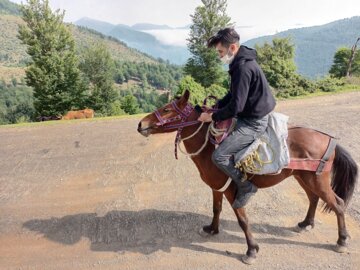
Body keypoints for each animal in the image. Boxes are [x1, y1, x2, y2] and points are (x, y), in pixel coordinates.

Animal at [137, 90, 358, 264]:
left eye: (167, 110)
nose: (140, 124)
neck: (209, 145)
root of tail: (329, 139)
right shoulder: (217, 186)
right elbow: (216, 209)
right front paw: (212, 229)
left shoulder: (233, 189)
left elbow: (242, 219)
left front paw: (251, 250)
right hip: (303, 177)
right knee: (313, 198)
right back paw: (306, 224)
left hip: (317, 180)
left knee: (337, 204)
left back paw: (342, 240)